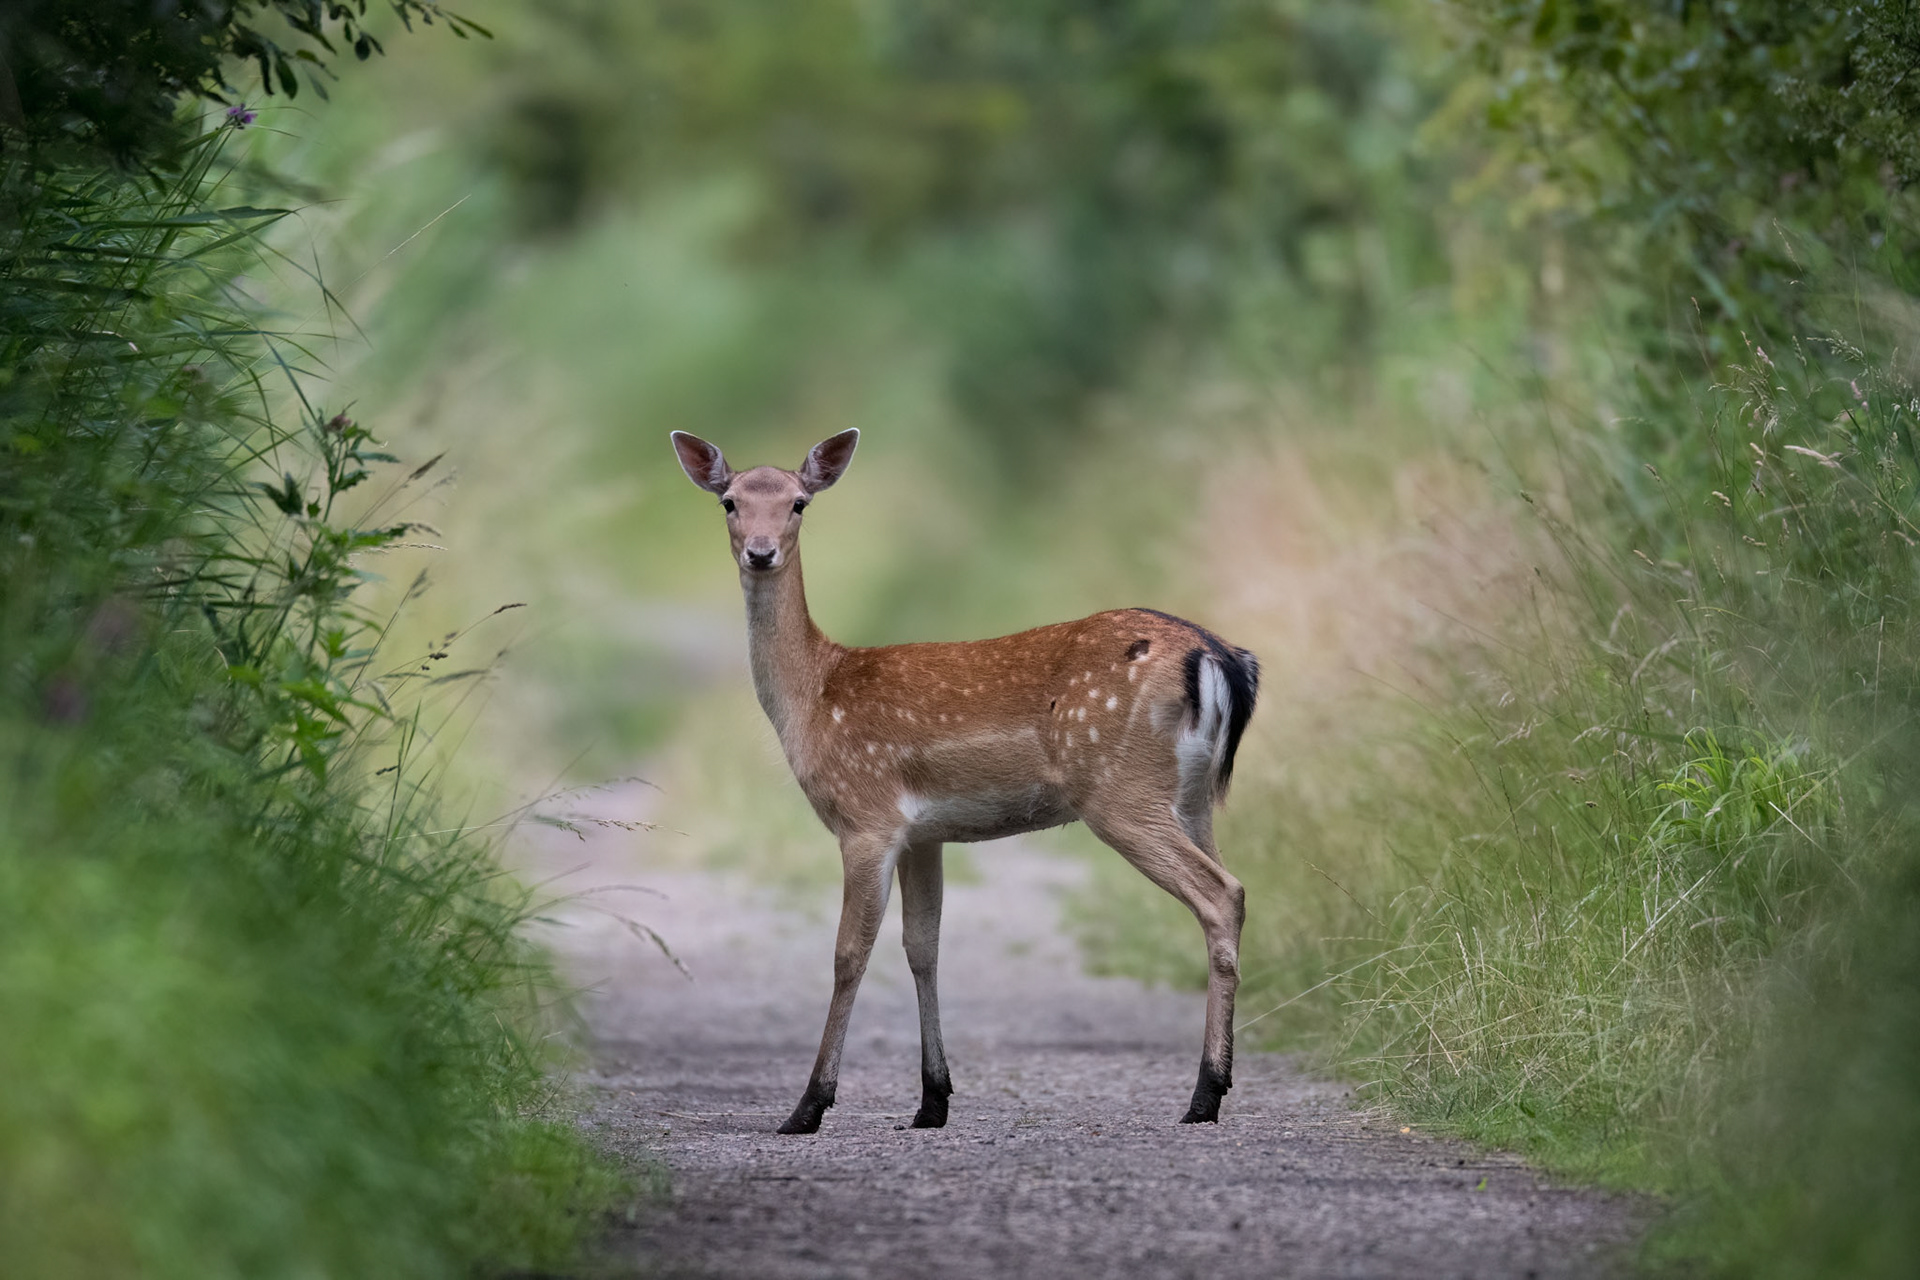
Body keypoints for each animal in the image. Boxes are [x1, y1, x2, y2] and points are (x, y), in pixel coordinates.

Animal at [670, 428, 1259, 1134]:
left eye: (798, 503)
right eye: (729, 501)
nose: (761, 552)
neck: (814, 695)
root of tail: (1220, 658)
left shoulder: (867, 817)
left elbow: (848, 952)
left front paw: (808, 1106)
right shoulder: (924, 834)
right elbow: (922, 946)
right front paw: (932, 1101)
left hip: (1121, 789)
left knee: (1222, 893)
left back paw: (1205, 1095)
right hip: (1194, 798)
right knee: (1229, 890)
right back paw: (1212, 1087)